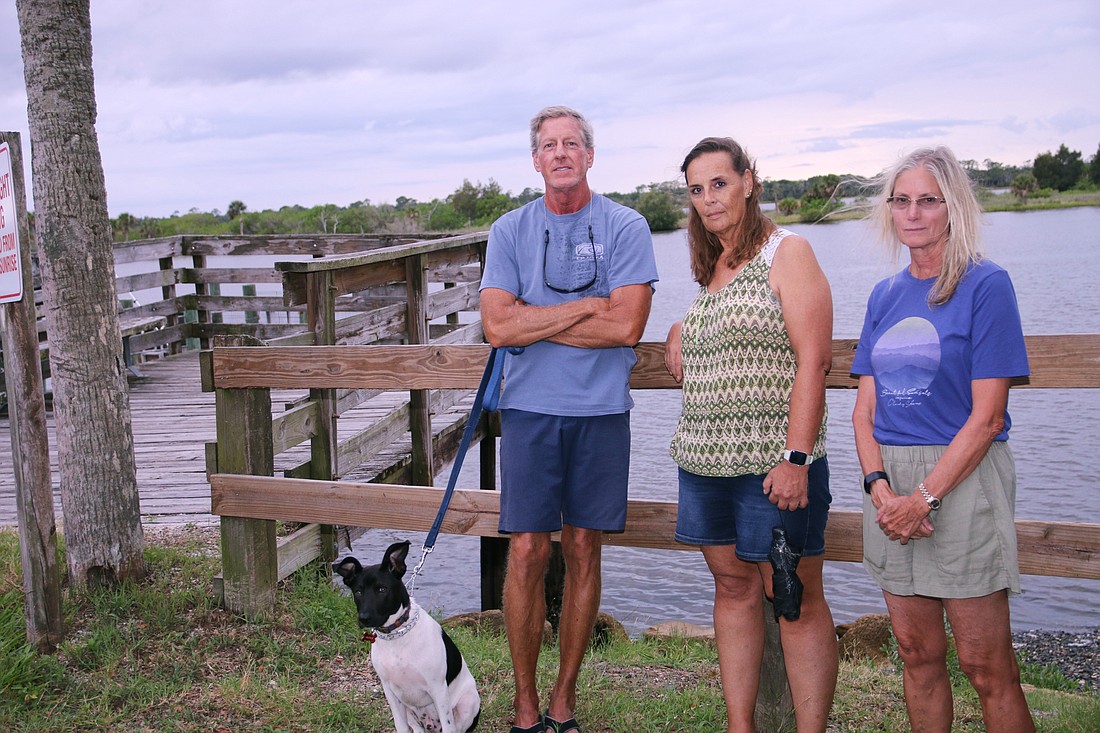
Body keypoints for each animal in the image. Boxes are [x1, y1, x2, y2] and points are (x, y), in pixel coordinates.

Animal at [330, 539, 477, 726]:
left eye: (382, 589)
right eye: (358, 591)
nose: (364, 618)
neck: (396, 636)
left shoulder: (438, 689)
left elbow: (448, 726)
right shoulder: (391, 692)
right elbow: (400, 726)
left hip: (467, 703)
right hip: (411, 713)